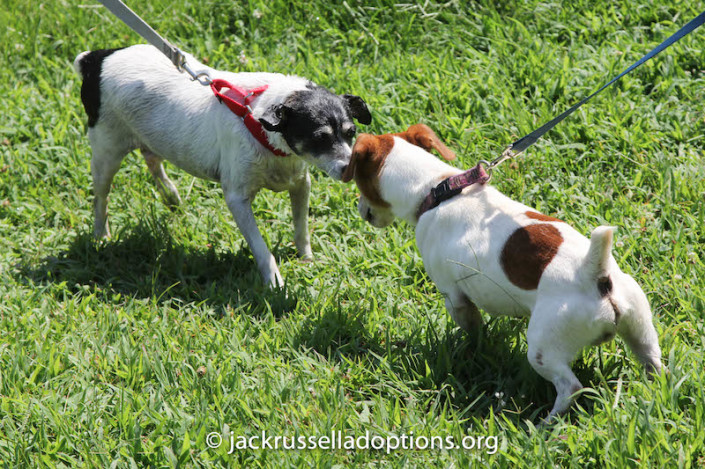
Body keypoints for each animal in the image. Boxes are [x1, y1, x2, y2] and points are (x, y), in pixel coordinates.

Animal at [73, 44, 372, 286]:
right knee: (101, 197)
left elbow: (301, 230)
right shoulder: (238, 198)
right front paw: (274, 282)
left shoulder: (300, 183)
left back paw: (170, 195)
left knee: (152, 156)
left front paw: (306, 260)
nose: (349, 170)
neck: (259, 121)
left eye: (351, 132)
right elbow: (262, 249)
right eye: (319, 138)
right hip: (106, 151)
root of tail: (97, 58)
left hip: (154, 134)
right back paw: (101, 235)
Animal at [344, 123, 664, 416]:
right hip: (641, 328)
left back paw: (545, 425)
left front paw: (472, 352)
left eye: (358, 183)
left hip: (543, 347)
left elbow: (473, 331)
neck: (436, 189)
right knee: (655, 365)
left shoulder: (454, 297)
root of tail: (596, 274)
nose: (359, 209)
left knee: (570, 387)